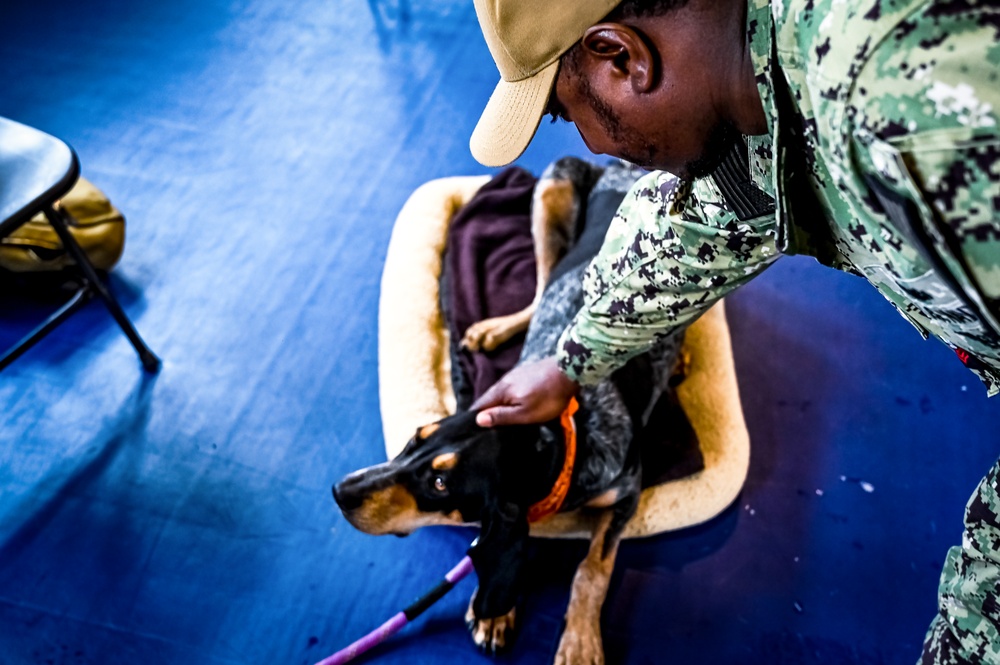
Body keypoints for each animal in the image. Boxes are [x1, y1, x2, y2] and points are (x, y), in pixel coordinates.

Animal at [334, 158, 688, 660]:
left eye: (440, 484)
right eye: (413, 439)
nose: (340, 491)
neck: (560, 433)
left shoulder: (627, 494)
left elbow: (592, 569)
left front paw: (580, 641)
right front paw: (498, 613)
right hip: (554, 187)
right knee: (542, 288)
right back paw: (493, 330)